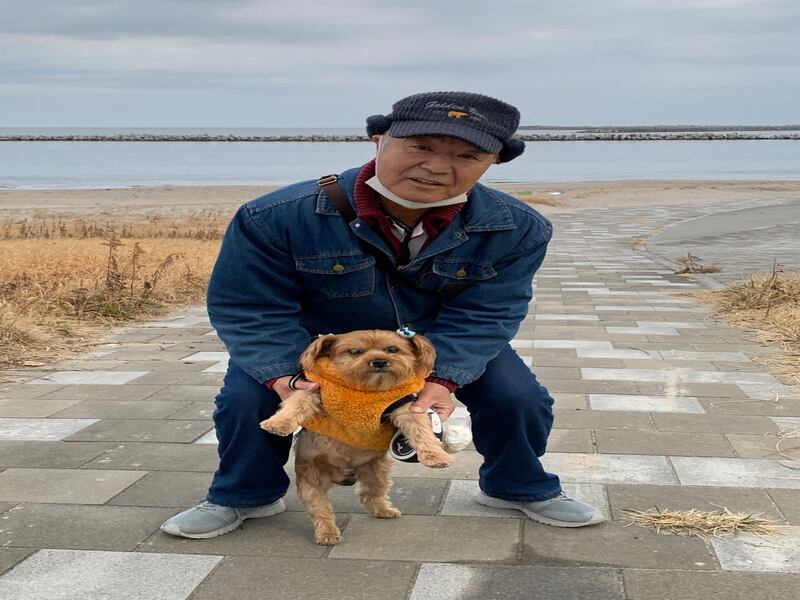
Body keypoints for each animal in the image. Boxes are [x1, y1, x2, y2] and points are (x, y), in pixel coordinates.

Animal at [260, 330, 454, 548]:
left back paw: (383, 510)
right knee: (320, 510)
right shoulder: (314, 390)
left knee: (369, 494)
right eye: (355, 352)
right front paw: (278, 423)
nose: (379, 361)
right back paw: (327, 533)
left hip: (375, 473)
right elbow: (296, 404)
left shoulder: (403, 407)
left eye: (392, 349)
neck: (365, 390)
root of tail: (343, 474)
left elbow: (421, 431)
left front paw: (437, 456)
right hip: (312, 480)